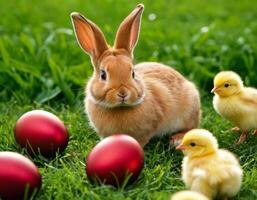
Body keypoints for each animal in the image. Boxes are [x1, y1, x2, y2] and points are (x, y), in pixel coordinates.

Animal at [70, 3, 200, 146]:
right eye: (103, 75)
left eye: (133, 73)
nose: (122, 93)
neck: (120, 108)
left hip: (189, 112)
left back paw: (177, 139)